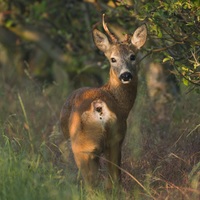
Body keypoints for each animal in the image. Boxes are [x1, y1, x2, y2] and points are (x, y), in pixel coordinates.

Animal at [59, 14, 147, 188]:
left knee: (92, 183)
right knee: (114, 179)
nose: (125, 75)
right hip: (114, 139)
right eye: (113, 59)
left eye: (132, 56)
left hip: (82, 146)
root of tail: (98, 106)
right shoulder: (117, 140)